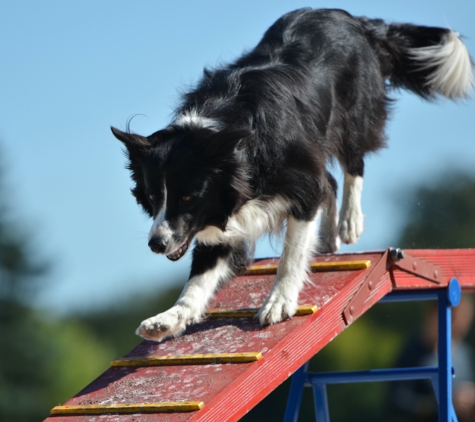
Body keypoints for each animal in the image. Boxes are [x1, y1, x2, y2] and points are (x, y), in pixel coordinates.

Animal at [111, 7, 472, 342]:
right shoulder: (223, 213)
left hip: (352, 114)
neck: (228, 140)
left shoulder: (297, 181)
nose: (156, 244)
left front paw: (278, 302)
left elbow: (292, 252)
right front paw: (170, 319)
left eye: (187, 196)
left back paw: (348, 221)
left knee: (353, 164)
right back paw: (329, 235)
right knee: (331, 180)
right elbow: (198, 278)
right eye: (152, 197)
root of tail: (351, 17)